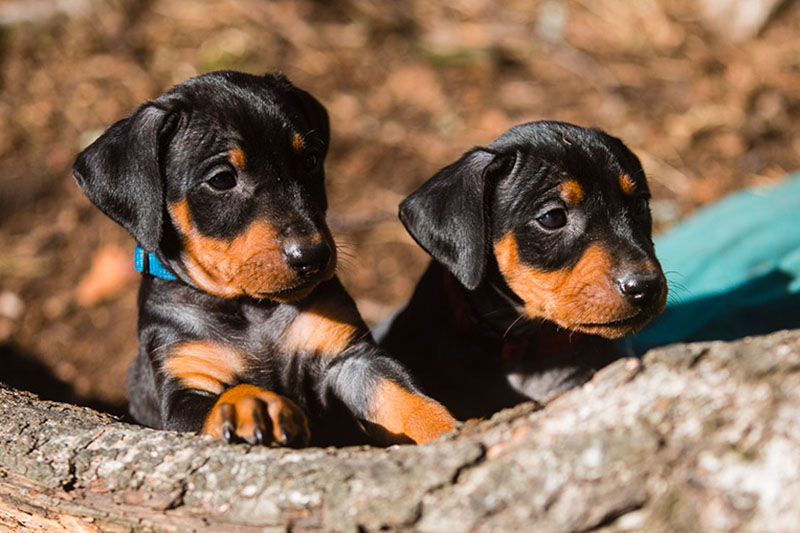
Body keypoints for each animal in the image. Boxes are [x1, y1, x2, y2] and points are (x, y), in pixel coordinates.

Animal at [75, 70, 456, 444]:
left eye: (310, 160)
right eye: (222, 179)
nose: (314, 255)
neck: (252, 309)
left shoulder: (351, 359)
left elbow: (407, 400)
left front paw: (451, 429)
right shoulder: (182, 386)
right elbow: (225, 393)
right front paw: (249, 403)